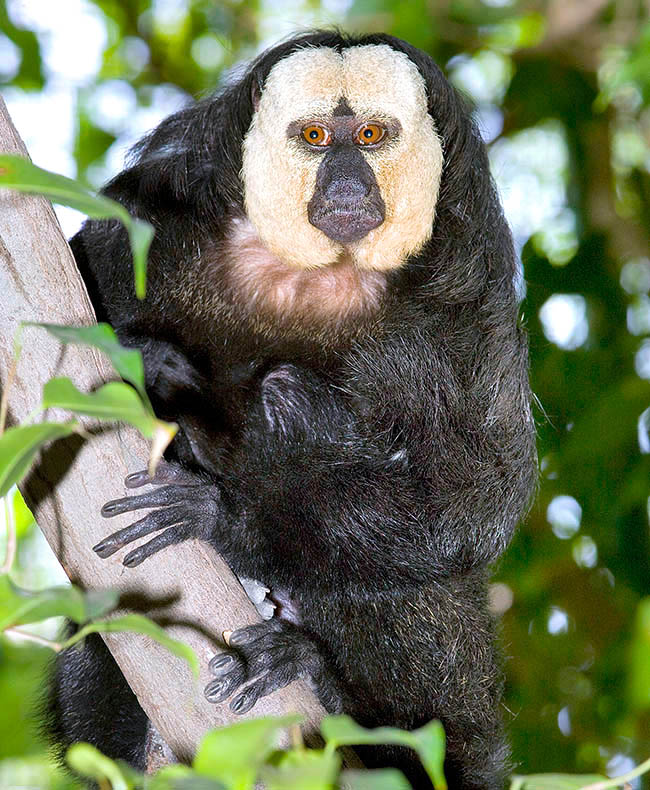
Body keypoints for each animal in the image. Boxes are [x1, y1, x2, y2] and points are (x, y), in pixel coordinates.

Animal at [46, 31, 536, 790]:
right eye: (314, 138)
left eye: (370, 136)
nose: (346, 185)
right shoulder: (150, 218)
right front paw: (153, 366)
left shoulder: (470, 302)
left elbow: (471, 499)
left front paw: (226, 517)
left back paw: (327, 688)